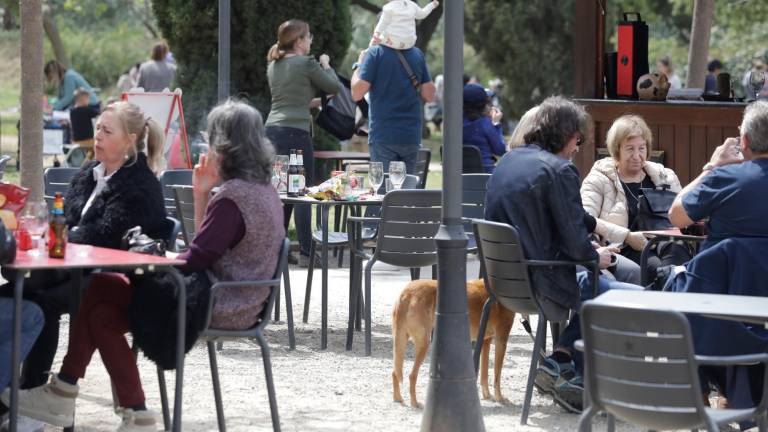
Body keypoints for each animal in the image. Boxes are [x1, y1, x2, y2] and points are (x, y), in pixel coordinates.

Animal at [390, 278, 516, 406]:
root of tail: (406, 293)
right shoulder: (501, 338)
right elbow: (497, 375)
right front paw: (499, 397)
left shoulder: (486, 341)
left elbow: (484, 374)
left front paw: (487, 396)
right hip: (423, 343)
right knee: (412, 375)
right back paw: (415, 403)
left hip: (401, 339)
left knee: (395, 372)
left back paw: (398, 398)